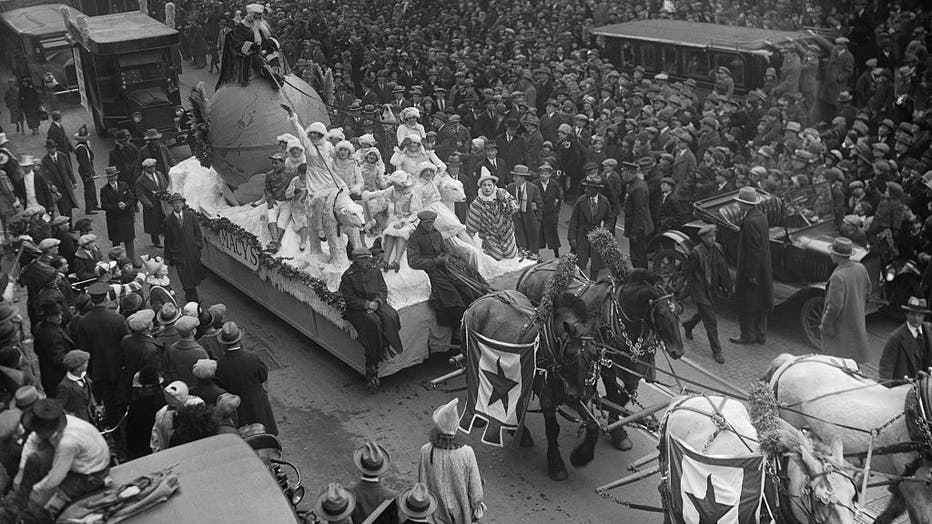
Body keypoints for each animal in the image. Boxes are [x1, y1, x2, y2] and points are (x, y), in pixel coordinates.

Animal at [464, 288, 604, 482]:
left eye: (594, 354)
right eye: (569, 355)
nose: (576, 395)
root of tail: (481, 300)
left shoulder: (581, 396)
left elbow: (592, 425)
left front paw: (581, 456)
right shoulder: (547, 398)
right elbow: (553, 430)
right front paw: (556, 465)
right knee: (474, 382)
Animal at [512, 258, 688, 450]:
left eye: (679, 311)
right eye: (663, 314)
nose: (678, 351)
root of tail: (534, 267)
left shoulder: (632, 369)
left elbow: (623, 396)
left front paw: (608, 413)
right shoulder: (607, 366)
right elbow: (613, 394)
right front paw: (617, 431)